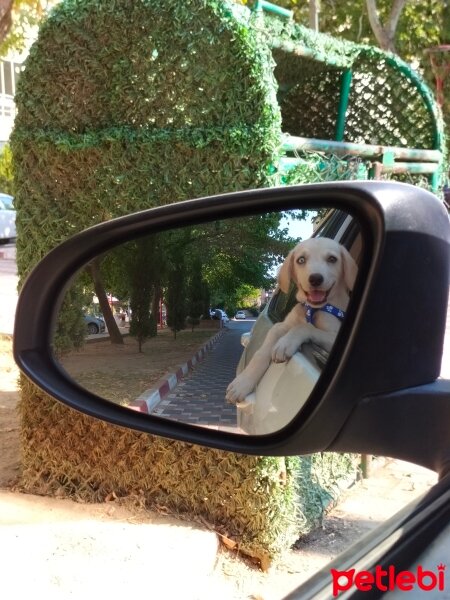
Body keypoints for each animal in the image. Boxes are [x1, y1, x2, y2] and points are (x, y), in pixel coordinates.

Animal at [227, 238, 356, 404]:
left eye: (332, 259)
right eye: (301, 260)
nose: (315, 278)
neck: (313, 309)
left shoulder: (335, 336)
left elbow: (304, 327)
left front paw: (285, 343)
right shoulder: (281, 326)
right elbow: (261, 352)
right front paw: (242, 383)